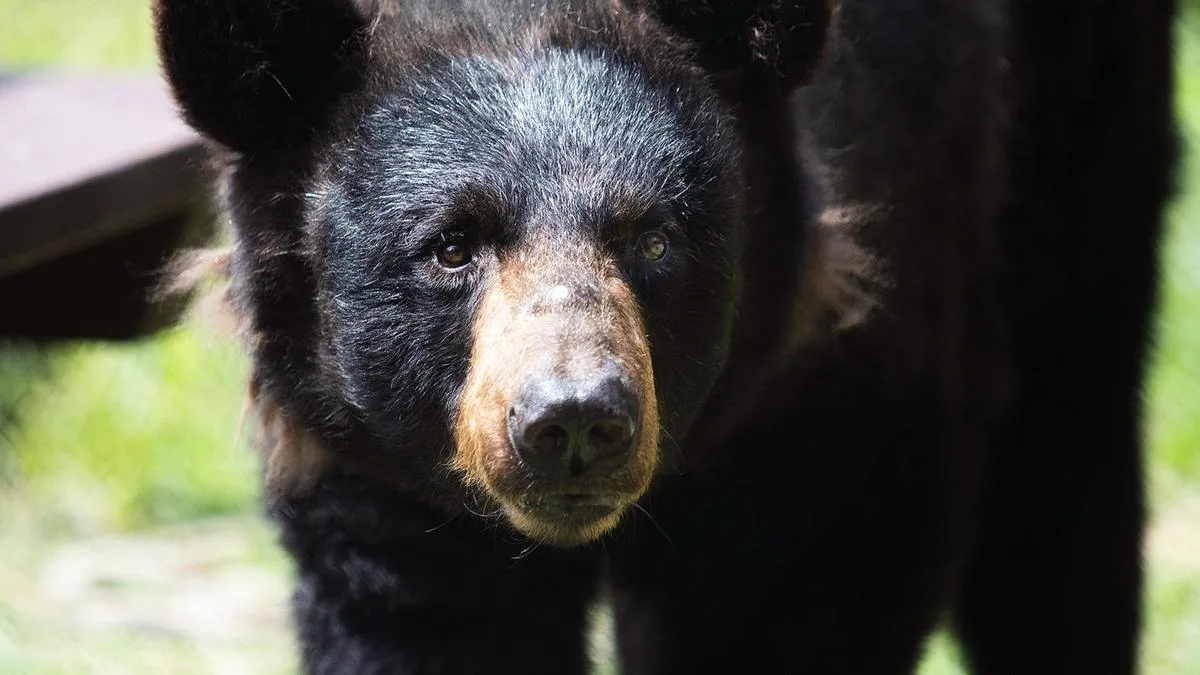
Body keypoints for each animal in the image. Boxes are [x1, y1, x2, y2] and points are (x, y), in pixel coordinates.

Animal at [152, 0, 1178, 673]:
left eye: (653, 236)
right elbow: (427, 614)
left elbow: (795, 588)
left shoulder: (824, 399)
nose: (572, 420)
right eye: (450, 246)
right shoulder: (369, 463)